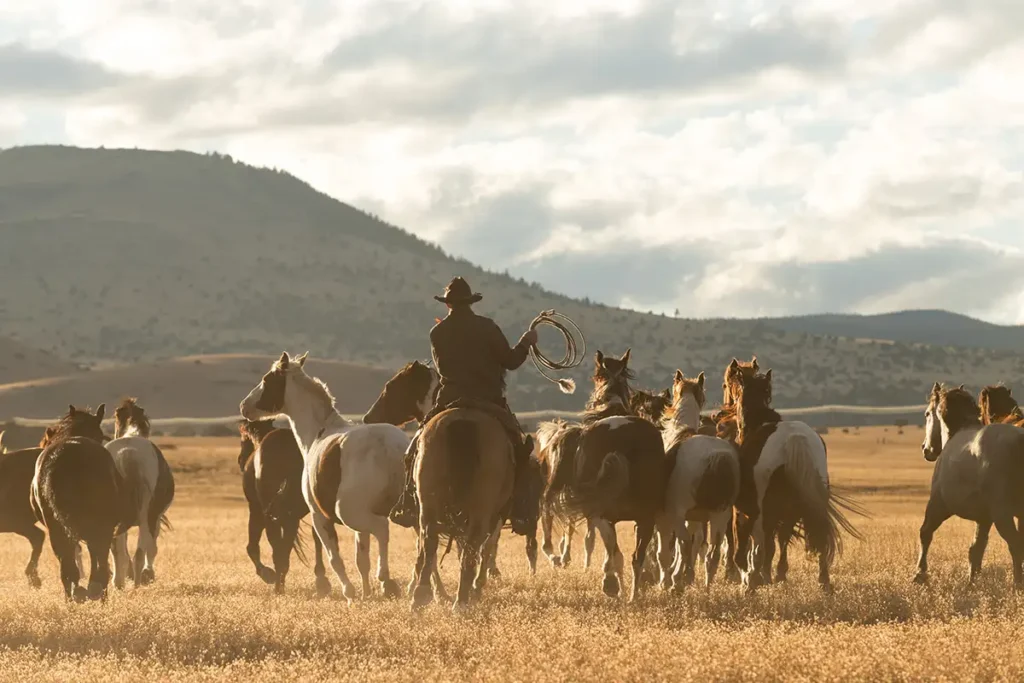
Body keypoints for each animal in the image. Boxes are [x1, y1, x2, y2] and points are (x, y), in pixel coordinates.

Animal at [105, 398, 175, 588]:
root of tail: (127, 454)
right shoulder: (156, 517)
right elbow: (152, 548)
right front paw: (148, 574)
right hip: (147, 517)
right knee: (139, 552)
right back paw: (137, 583)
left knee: (117, 550)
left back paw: (119, 583)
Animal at [239, 418, 327, 594]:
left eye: (242, 438)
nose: (240, 459)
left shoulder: (256, 510)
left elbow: (253, 547)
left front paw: (267, 574)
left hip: (274, 514)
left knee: (279, 548)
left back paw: (278, 585)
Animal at [658, 370, 740, 589]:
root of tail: (717, 457)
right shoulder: (695, 517)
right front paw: (683, 576)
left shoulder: (667, 515)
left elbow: (669, 550)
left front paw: (667, 580)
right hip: (720, 517)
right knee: (712, 554)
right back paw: (706, 589)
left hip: (679, 514)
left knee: (684, 545)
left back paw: (676, 585)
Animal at [732, 372, 862, 592]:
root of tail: (795, 439)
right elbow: (780, 541)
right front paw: (776, 576)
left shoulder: (745, 512)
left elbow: (751, 548)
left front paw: (755, 577)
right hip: (807, 502)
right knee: (815, 538)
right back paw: (823, 581)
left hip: (762, 510)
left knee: (760, 544)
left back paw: (753, 583)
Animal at [916, 382, 1024, 588]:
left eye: (927, 414)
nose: (926, 449)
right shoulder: (984, 518)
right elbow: (977, 548)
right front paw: (972, 581)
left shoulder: (938, 504)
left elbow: (925, 532)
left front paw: (920, 574)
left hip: (1003, 514)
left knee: (1015, 544)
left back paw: (1017, 584)